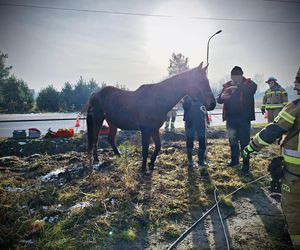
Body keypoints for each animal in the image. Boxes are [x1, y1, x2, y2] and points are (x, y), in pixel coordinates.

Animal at [86, 62, 216, 172]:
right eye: (200, 81)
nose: (213, 104)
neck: (156, 100)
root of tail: (95, 94)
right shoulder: (145, 130)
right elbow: (145, 149)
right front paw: (143, 168)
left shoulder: (154, 129)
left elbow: (158, 146)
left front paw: (151, 163)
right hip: (98, 120)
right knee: (95, 139)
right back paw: (97, 161)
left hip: (112, 122)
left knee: (110, 139)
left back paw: (119, 156)